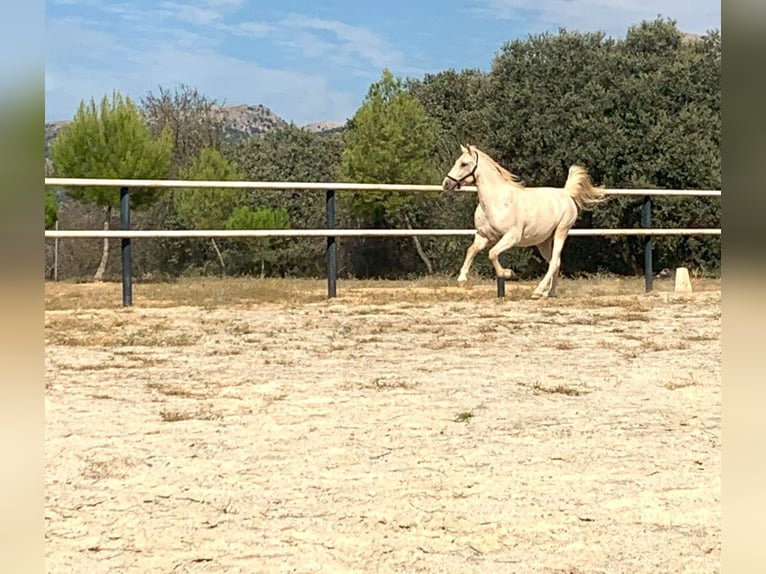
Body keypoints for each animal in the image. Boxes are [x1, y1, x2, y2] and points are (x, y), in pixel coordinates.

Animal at [444, 144, 608, 300]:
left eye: (464, 164)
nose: (446, 184)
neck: (496, 201)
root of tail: (565, 193)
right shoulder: (484, 236)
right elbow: (471, 250)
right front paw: (462, 280)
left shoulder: (512, 236)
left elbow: (492, 253)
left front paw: (508, 273)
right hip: (544, 241)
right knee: (556, 262)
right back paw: (550, 293)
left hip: (561, 232)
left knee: (554, 262)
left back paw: (538, 291)